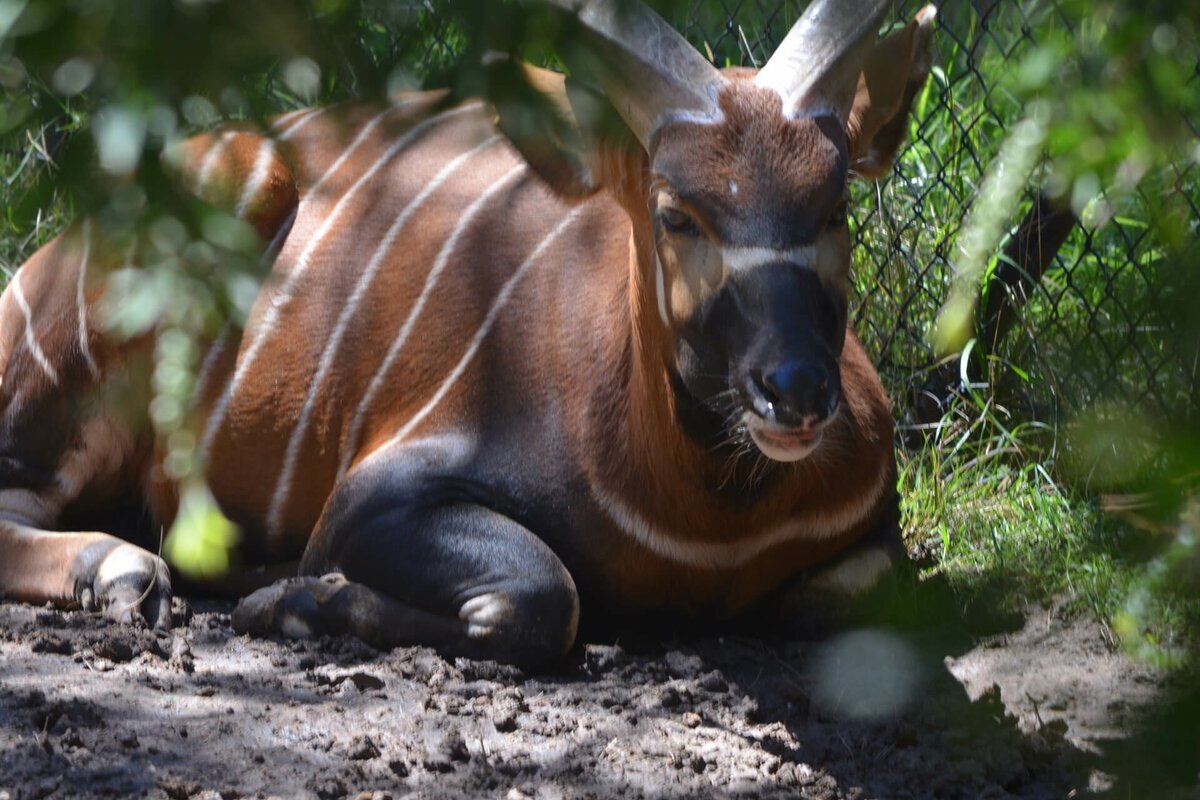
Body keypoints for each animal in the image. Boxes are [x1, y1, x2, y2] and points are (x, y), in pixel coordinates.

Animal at [0, 0, 936, 666]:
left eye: (834, 205)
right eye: (677, 213)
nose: (796, 391)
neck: (709, 523)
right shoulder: (372, 498)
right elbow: (543, 595)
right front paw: (291, 601)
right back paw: (122, 569)